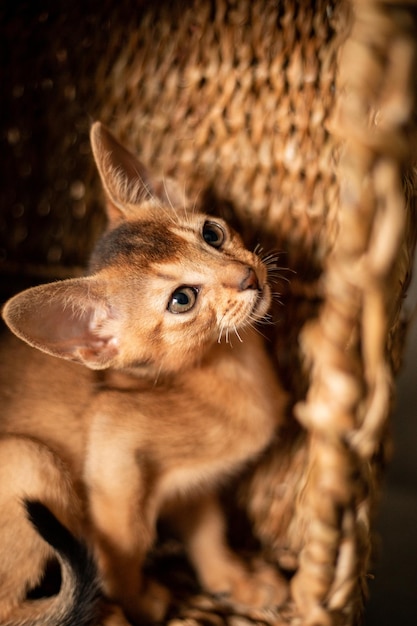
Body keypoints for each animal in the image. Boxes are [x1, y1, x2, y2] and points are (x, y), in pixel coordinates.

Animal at [0, 122, 286, 624]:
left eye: (212, 233)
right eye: (182, 299)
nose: (248, 277)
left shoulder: (193, 484)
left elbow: (208, 531)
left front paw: (238, 582)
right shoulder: (113, 446)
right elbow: (124, 548)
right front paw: (141, 602)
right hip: (30, 459)